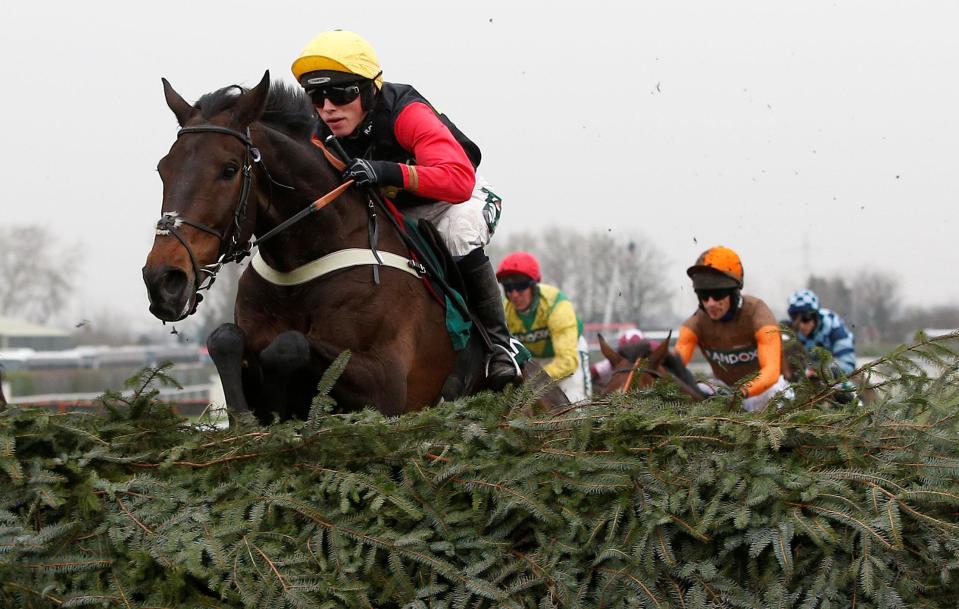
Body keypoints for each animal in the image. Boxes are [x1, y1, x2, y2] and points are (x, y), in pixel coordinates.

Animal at [142, 71, 564, 420]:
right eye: (163, 169)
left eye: (229, 170)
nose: (163, 280)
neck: (304, 266)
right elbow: (224, 339)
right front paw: (252, 418)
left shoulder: (386, 384)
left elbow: (288, 345)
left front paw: (281, 410)